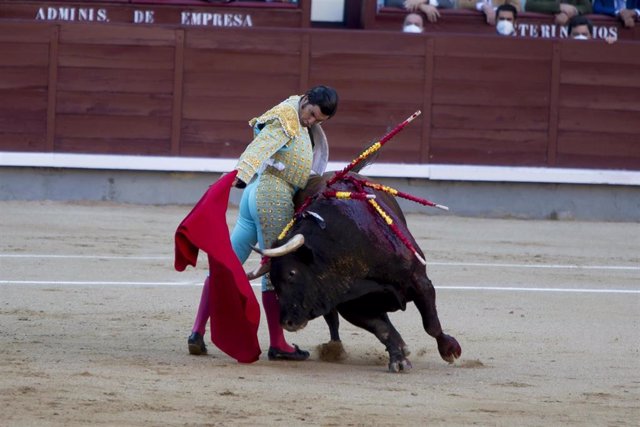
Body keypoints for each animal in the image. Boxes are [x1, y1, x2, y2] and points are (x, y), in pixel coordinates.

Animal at [252, 172, 462, 372]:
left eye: (292, 273)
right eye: (274, 280)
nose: (286, 322)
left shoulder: (419, 280)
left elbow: (430, 324)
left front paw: (450, 350)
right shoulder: (351, 305)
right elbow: (382, 329)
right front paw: (399, 359)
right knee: (334, 321)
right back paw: (338, 348)